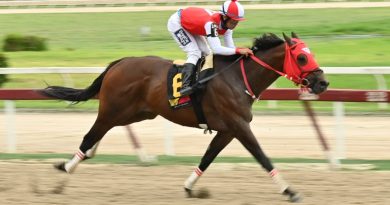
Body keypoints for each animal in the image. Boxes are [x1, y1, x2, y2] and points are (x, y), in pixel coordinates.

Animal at [40, 32, 330, 203]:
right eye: (301, 57)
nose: (323, 83)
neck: (238, 78)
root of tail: (119, 62)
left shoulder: (228, 129)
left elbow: (208, 157)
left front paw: (190, 187)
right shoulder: (239, 125)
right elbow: (262, 157)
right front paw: (290, 190)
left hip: (137, 113)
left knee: (101, 133)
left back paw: (84, 158)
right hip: (114, 109)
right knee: (91, 133)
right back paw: (66, 170)